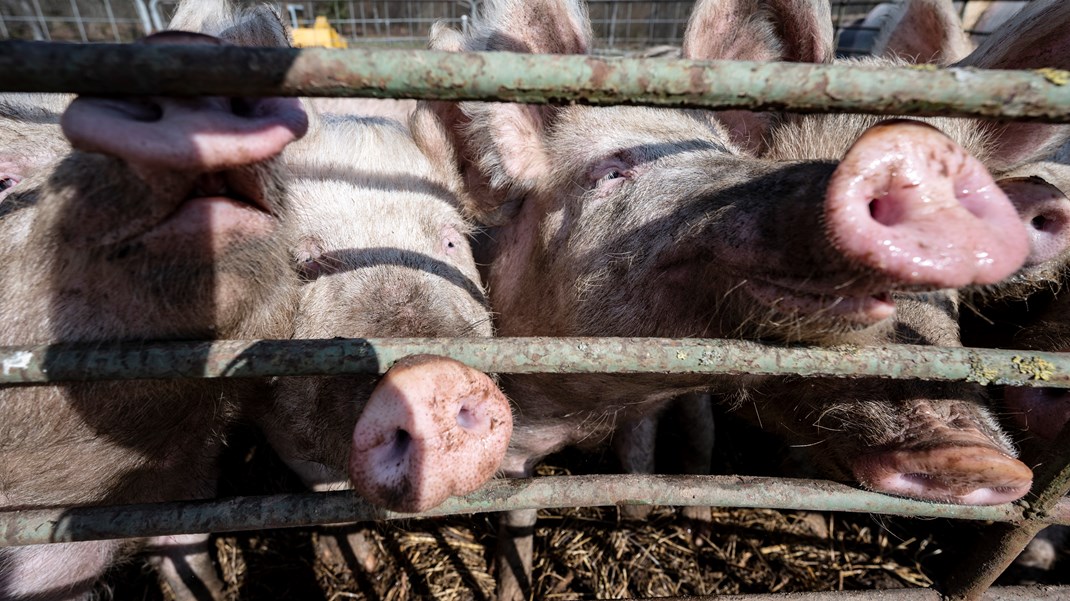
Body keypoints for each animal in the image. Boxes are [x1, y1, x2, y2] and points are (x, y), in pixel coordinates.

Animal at [415, 0, 1052, 594]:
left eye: (733, 159)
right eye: (610, 172)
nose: (978, 456)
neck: (588, 407)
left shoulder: (657, 405)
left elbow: (653, 454)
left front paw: (646, 516)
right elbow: (517, 512)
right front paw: (511, 584)